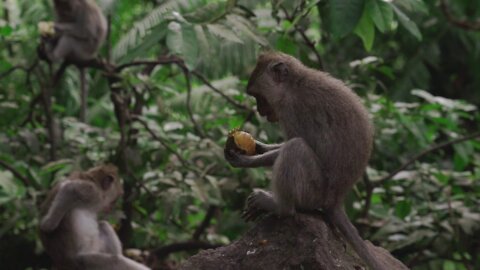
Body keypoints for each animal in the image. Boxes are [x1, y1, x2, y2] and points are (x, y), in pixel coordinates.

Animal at [226, 51, 390, 268]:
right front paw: (259, 146)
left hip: (314, 191)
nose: (260, 110)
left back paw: (280, 206)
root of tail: (336, 200)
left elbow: (294, 143)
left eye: (258, 96)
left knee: (296, 149)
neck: (295, 83)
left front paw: (246, 161)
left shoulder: (291, 109)